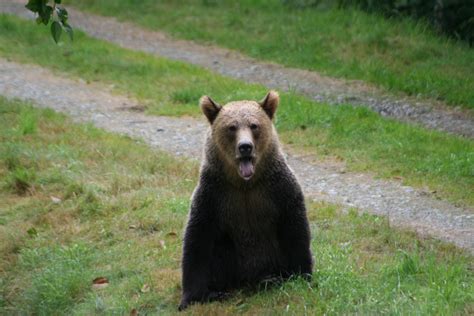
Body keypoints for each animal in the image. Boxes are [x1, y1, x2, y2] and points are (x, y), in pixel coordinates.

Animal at [180, 90, 312, 310]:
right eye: (231, 127)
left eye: (254, 125)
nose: (245, 147)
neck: (245, 184)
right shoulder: (215, 193)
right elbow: (198, 239)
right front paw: (192, 296)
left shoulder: (278, 189)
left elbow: (295, 230)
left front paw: (303, 276)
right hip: (231, 256)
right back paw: (219, 291)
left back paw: (271, 279)